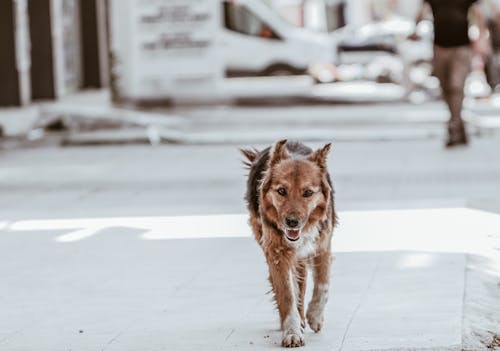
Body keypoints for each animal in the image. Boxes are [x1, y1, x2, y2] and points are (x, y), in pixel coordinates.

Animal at [241, 141, 338, 350]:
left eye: (308, 193)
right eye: (281, 191)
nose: (292, 222)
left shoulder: (323, 245)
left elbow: (323, 285)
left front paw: (315, 316)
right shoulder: (278, 254)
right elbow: (287, 295)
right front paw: (292, 332)